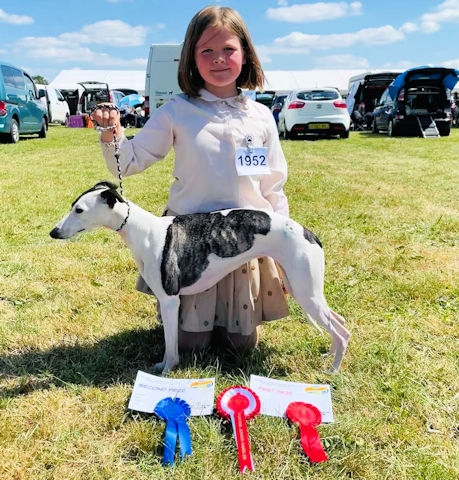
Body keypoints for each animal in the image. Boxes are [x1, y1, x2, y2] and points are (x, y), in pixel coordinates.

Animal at [50, 182, 350, 374]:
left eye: (79, 210)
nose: (53, 232)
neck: (144, 231)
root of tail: (309, 234)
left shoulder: (170, 300)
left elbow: (171, 343)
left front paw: (167, 369)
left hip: (306, 291)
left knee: (342, 330)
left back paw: (333, 371)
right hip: (303, 287)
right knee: (340, 322)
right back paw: (329, 355)